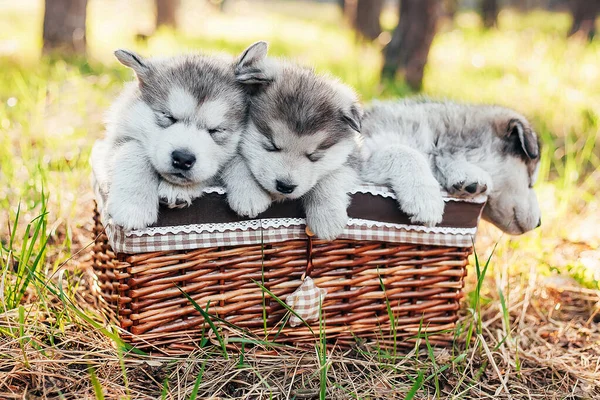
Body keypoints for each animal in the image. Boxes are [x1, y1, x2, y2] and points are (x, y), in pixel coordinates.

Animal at [103, 48, 246, 230]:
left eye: (216, 130)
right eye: (168, 117)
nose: (183, 159)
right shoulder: (117, 137)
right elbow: (133, 151)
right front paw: (133, 206)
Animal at [221, 42, 358, 239]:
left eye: (314, 155)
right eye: (271, 144)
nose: (285, 186)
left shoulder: (353, 158)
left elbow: (331, 177)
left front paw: (327, 217)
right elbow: (237, 161)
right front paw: (248, 194)